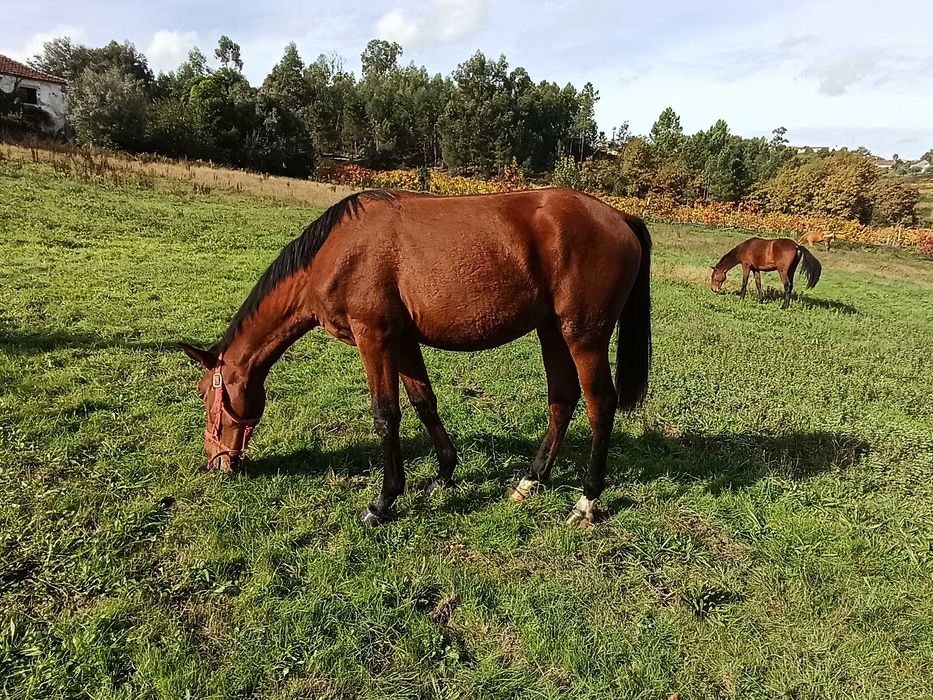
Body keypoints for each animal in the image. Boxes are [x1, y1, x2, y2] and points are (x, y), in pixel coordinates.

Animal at [180, 188, 652, 527]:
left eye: (206, 395)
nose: (217, 464)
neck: (335, 252)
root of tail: (619, 217)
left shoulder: (374, 338)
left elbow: (386, 414)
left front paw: (383, 502)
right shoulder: (403, 342)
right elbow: (424, 402)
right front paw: (444, 473)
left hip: (583, 335)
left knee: (600, 404)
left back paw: (587, 500)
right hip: (551, 330)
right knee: (562, 399)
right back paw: (530, 481)